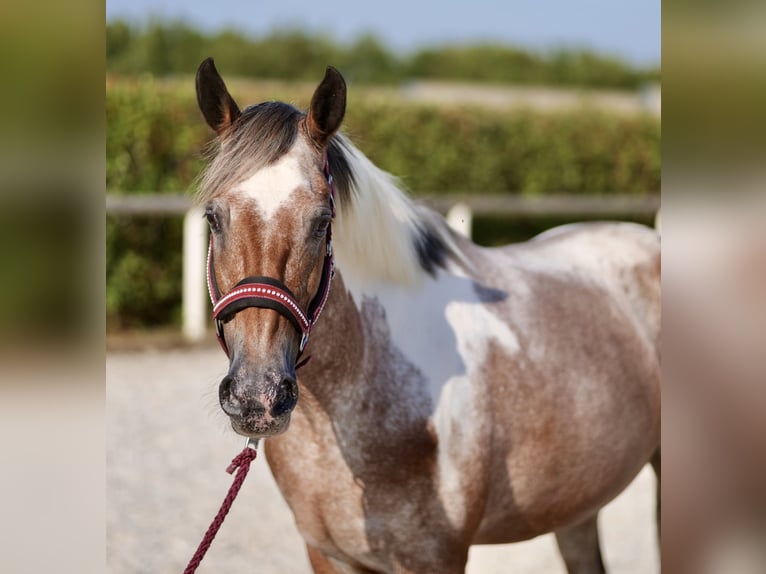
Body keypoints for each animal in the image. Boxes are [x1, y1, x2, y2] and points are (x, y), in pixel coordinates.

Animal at [192, 59, 660, 574]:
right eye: (213, 217)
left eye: (321, 222)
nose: (257, 397)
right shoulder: (326, 554)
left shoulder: (437, 557)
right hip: (574, 503)